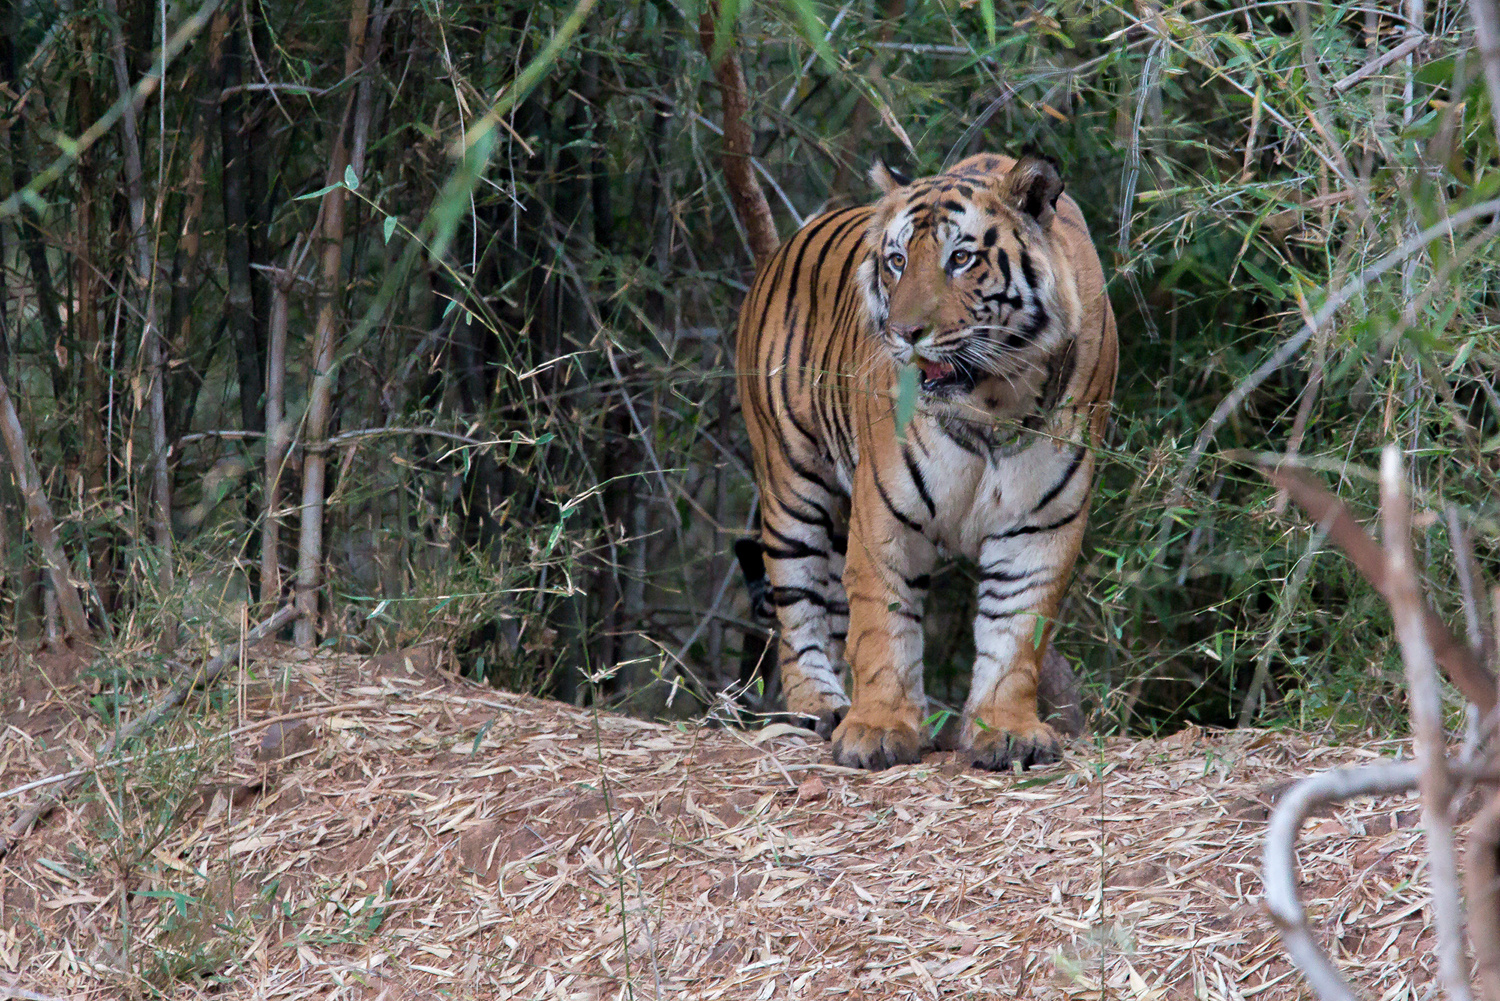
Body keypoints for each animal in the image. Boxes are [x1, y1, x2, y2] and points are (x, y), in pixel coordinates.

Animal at [735, 150, 1116, 774]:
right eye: (896, 261)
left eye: (960, 258)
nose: (904, 333)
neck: (993, 403)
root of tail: (781, 249)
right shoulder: (884, 515)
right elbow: (882, 624)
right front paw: (878, 728)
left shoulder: (1040, 524)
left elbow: (1015, 631)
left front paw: (1005, 730)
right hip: (793, 486)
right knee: (800, 604)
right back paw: (820, 706)